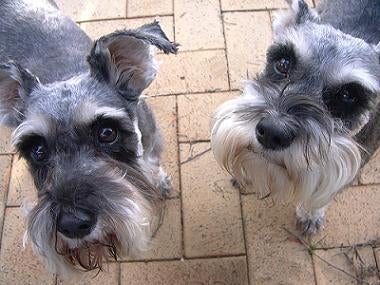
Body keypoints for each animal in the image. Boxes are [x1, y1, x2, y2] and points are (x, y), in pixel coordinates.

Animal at [0, 0, 177, 276]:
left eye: (107, 133)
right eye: (37, 149)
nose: (72, 224)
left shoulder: (151, 139)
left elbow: (151, 162)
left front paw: (158, 182)